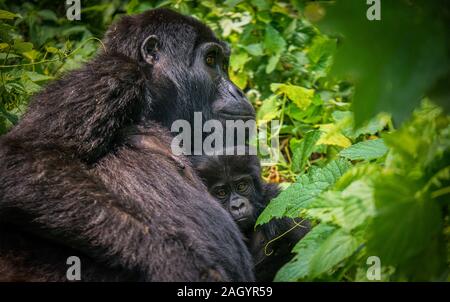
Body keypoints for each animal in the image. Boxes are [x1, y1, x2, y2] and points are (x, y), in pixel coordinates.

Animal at [0, 8, 255, 280]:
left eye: (224, 64)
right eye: (210, 60)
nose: (238, 91)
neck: (154, 98)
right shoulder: (111, 76)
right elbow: (25, 160)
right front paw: (174, 260)